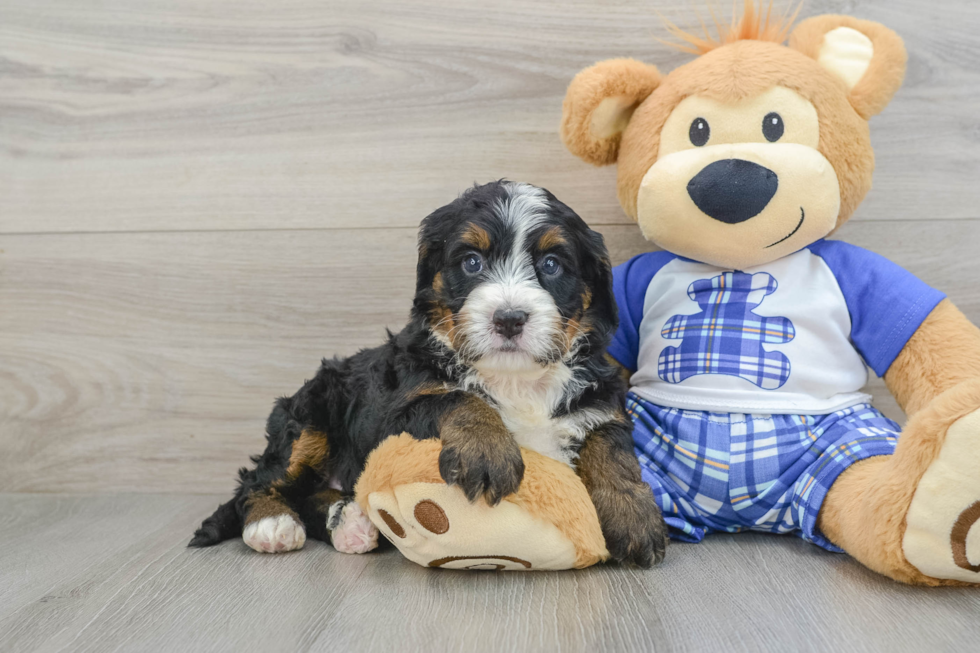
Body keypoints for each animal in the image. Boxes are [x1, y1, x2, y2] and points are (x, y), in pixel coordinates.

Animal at [189, 178, 668, 564]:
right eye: (472, 262)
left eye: (551, 265)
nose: (509, 318)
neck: (513, 379)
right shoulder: (397, 409)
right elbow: (458, 397)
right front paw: (488, 452)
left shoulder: (599, 397)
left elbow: (611, 447)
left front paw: (635, 517)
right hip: (309, 412)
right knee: (259, 481)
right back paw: (272, 525)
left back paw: (351, 524)